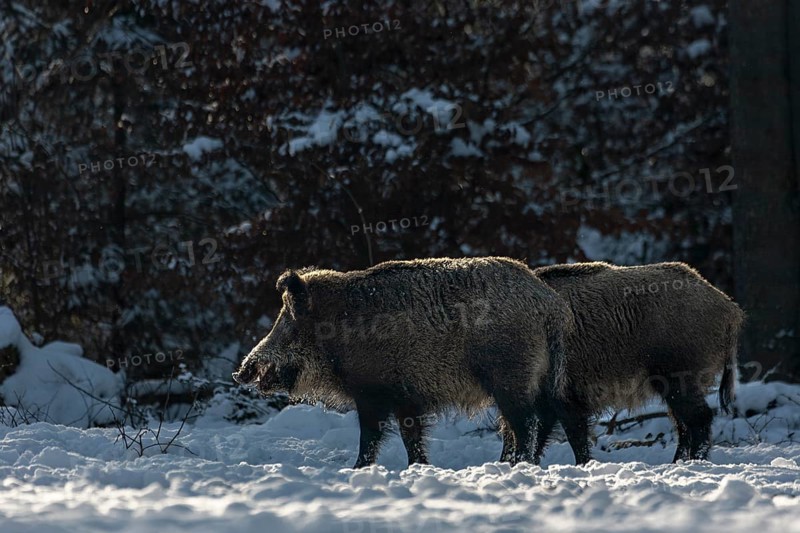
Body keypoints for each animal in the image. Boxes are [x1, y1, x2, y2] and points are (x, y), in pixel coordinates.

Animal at [233, 257, 572, 468]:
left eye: (287, 322)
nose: (240, 373)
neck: (336, 331)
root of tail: (550, 304)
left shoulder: (372, 392)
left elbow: (369, 437)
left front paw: (356, 470)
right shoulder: (407, 398)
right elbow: (411, 438)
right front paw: (418, 468)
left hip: (511, 377)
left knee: (525, 424)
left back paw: (518, 465)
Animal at [499, 261, 745, 465]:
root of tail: (730, 309)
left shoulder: (564, 396)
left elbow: (571, 434)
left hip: (680, 373)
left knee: (700, 417)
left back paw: (694, 463)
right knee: (682, 423)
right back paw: (676, 463)